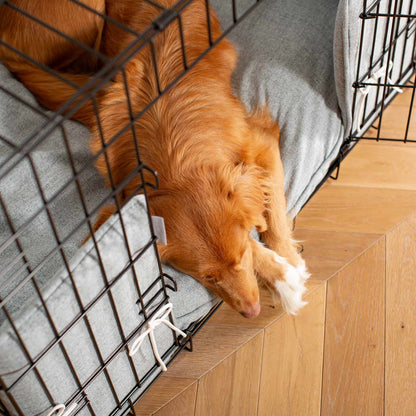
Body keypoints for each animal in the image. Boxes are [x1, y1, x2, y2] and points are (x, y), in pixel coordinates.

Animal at [0, 0, 308, 318]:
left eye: (241, 255)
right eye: (208, 277)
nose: (252, 311)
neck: (173, 148)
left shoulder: (262, 142)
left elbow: (273, 216)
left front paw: (288, 270)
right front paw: (281, 275)